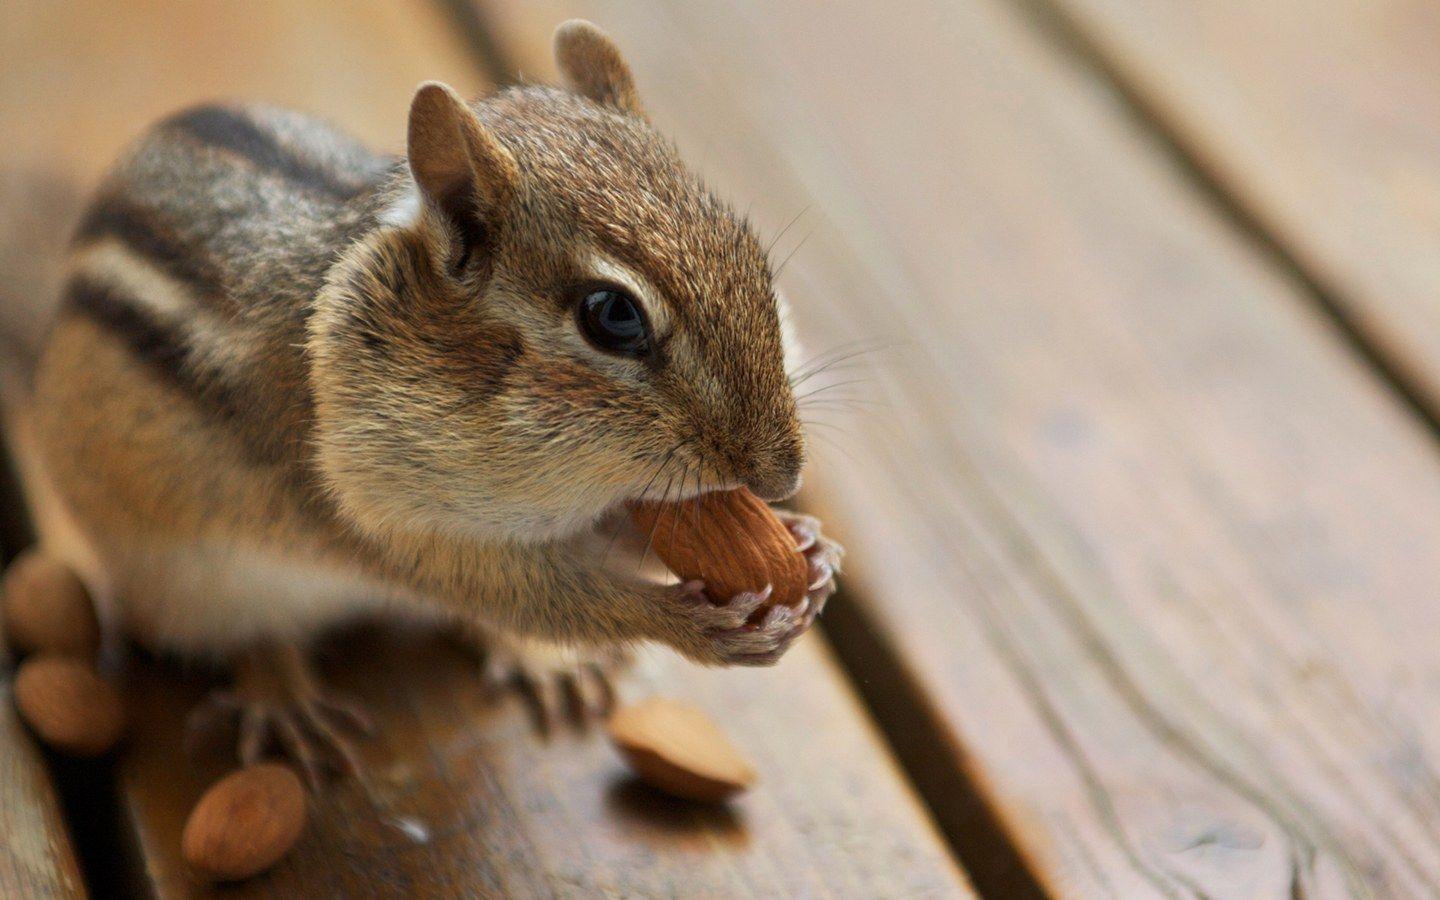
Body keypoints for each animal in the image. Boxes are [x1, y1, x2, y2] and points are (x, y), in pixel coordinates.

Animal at [18, 21, 841, 784]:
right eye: (613, 315)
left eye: (753, 258)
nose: (783, 477)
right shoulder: (381, 514)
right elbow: (513, 588)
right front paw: (687, 623)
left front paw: (808, 546)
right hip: (187, 584)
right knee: (245, 635)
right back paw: (282, 697)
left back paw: (542, 662)